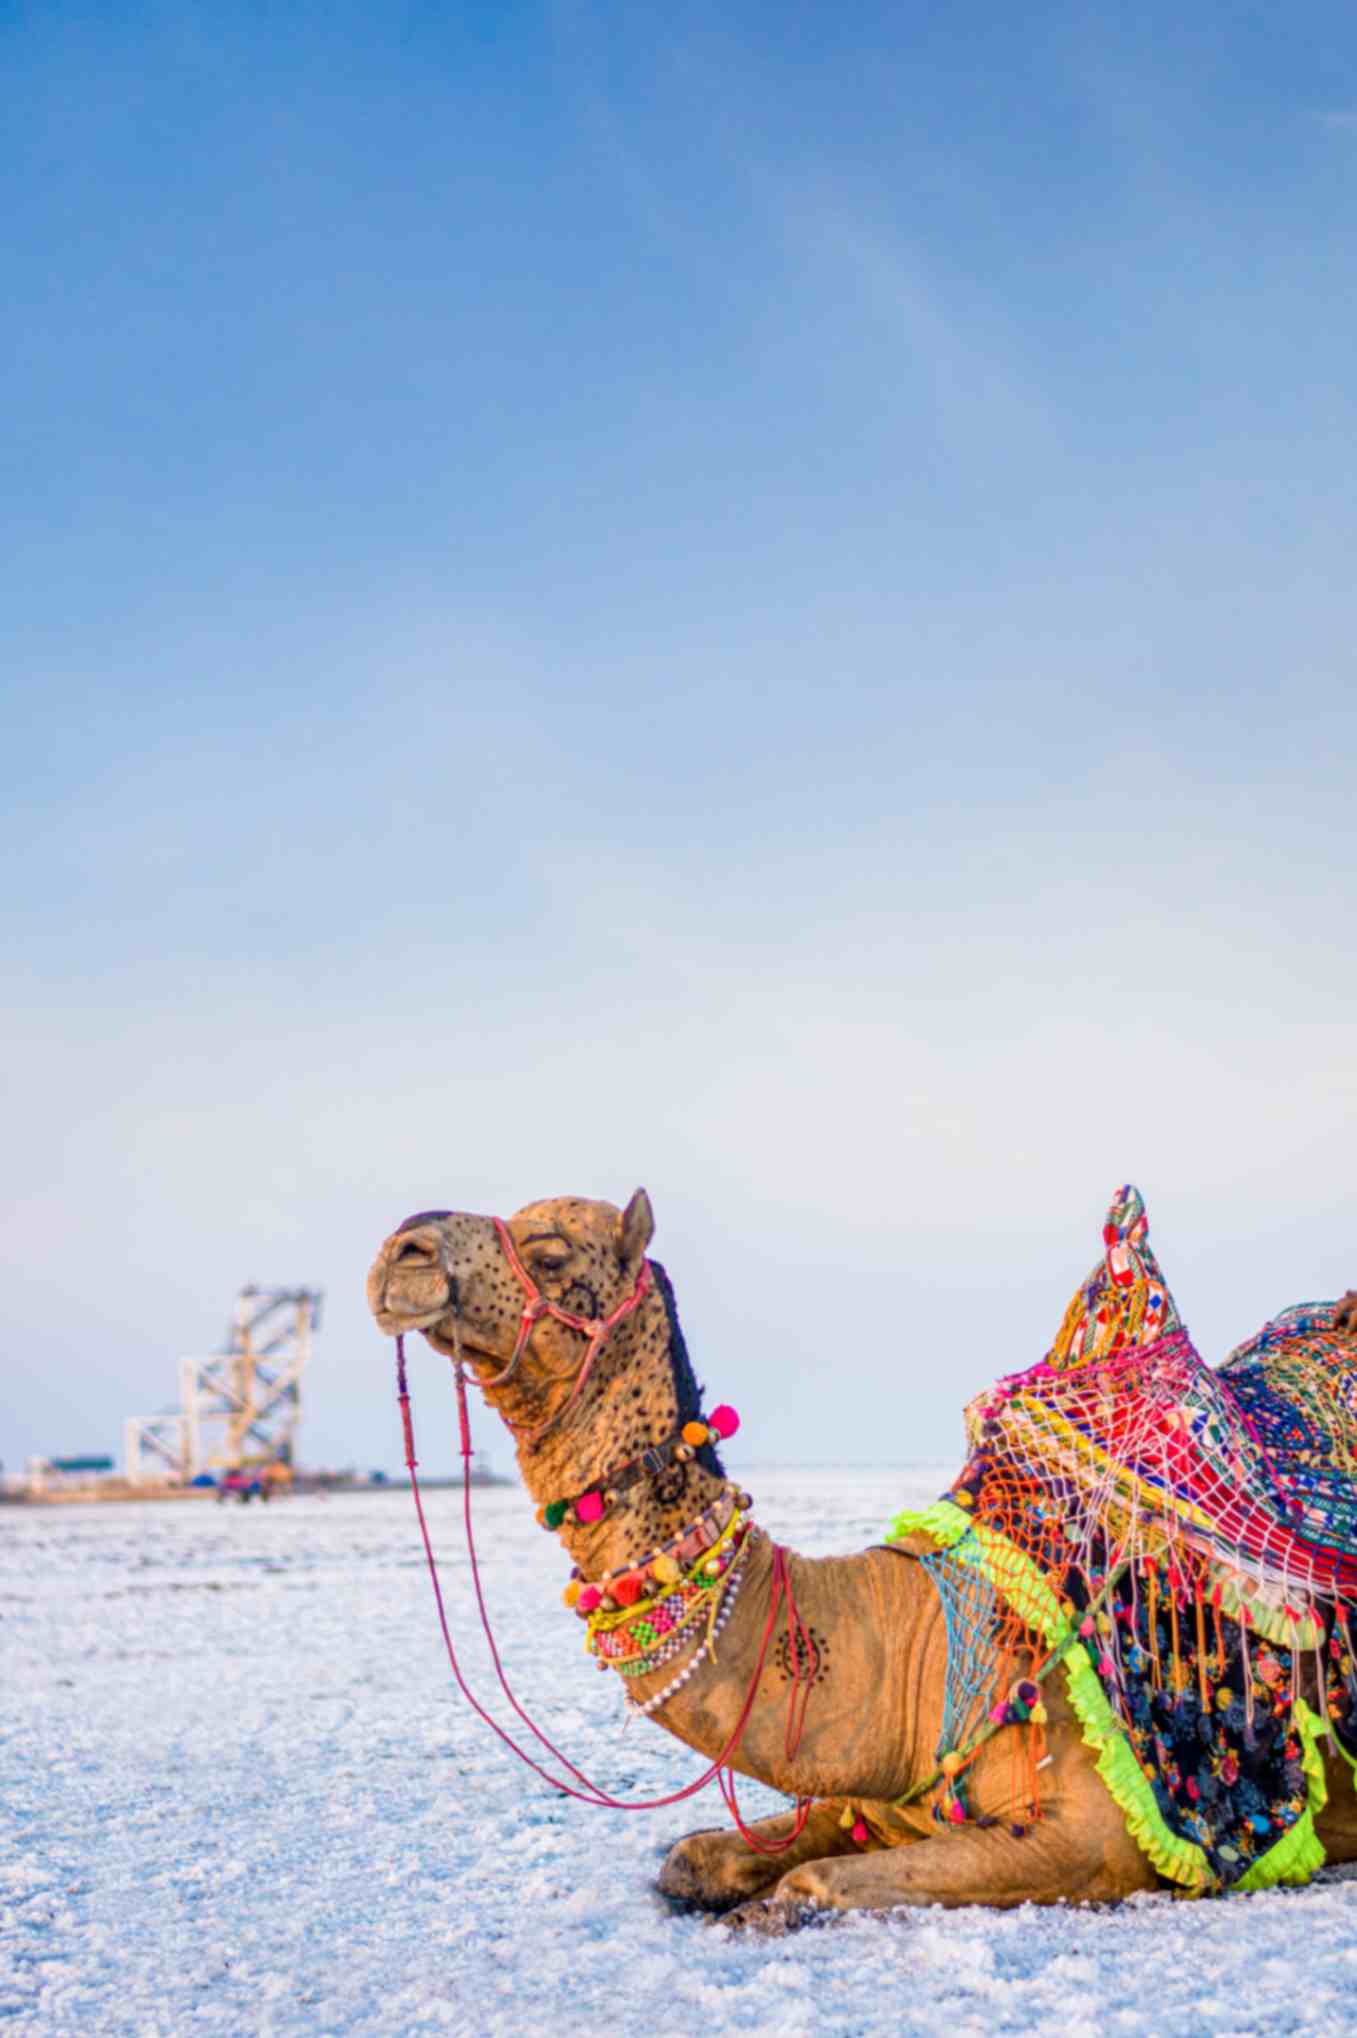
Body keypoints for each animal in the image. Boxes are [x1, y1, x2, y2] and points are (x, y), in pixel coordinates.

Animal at [367, 1192, 1357, 1929]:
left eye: (550, 1250)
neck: (918, 1633)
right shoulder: (882, 1794)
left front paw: (767, 1910)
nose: (398, 1251)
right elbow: (691, 1859)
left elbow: (803, 1887)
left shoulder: (1101, 1837)